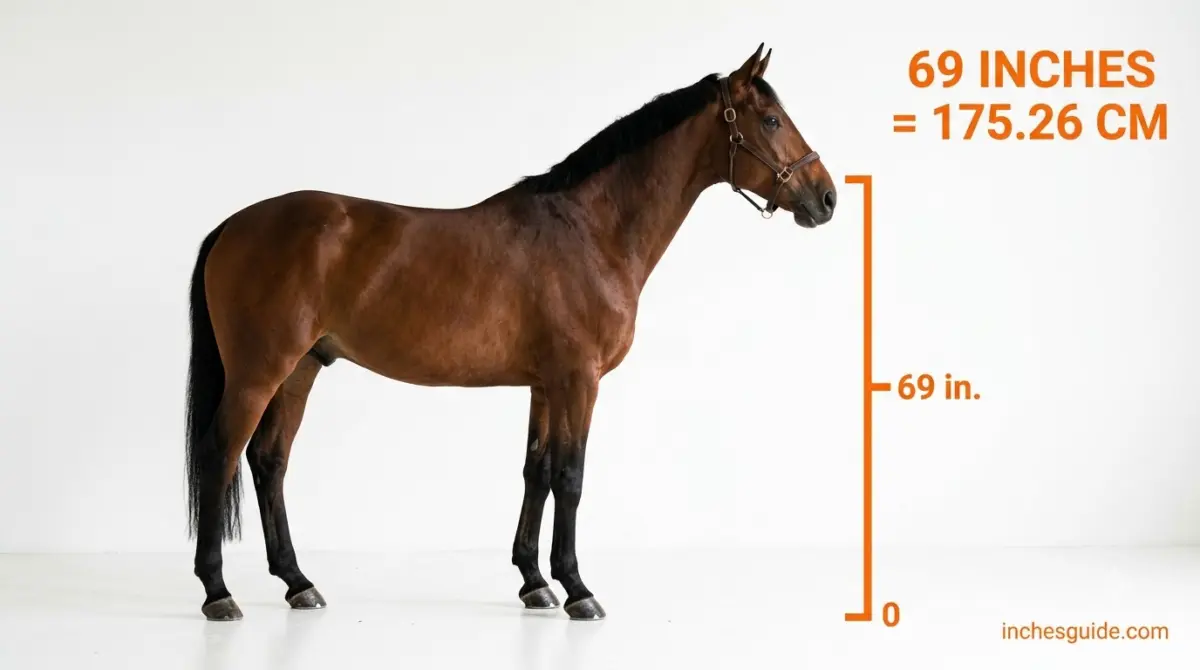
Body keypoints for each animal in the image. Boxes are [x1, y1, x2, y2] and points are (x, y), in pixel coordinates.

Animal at [183, 43, 838, 622]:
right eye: (771, 118)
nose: (826, 197)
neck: (590, 231)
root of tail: (234, 224)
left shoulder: (545, 385)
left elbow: (537, 473)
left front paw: (534, 583)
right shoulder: (579, 381)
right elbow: (571, 478)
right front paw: (578, 590)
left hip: (301, 368)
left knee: (269, 460)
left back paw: (299, 583)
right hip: (258, 372)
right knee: (221, 453)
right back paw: (218, 592)